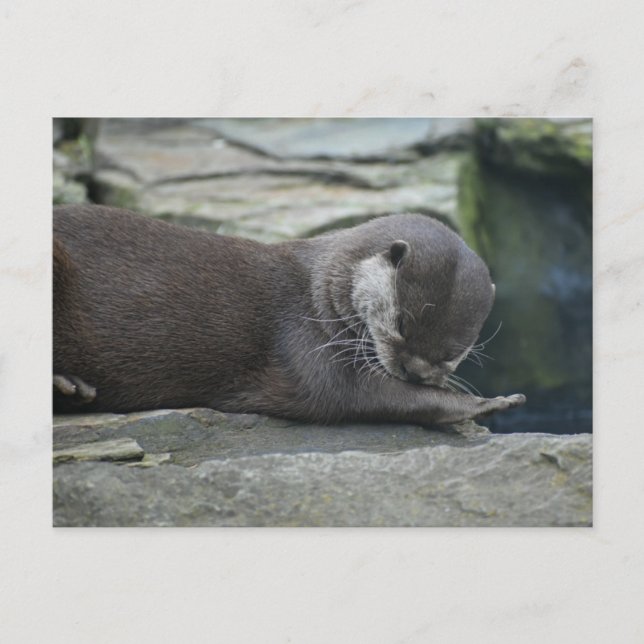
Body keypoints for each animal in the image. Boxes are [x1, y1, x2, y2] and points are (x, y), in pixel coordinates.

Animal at [53, 205, 525, 425]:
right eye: (401, 325)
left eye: (453, 353)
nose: (414, 371)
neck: (316, 297)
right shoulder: (301, 344)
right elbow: (350, 396)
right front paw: (486, 403)